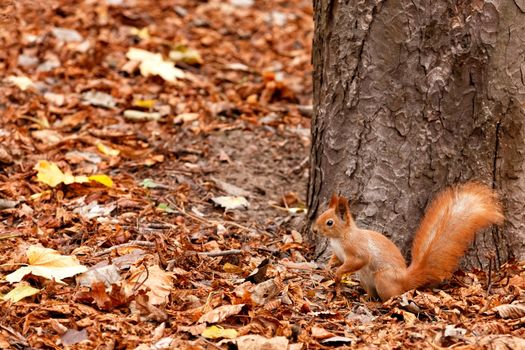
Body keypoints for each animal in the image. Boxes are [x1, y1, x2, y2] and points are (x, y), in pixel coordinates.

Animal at [312, 180, 504, 300]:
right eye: (321, 215)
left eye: (329, 222)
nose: (314, 230)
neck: (339, 238)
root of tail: (405, 279)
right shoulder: (339, 253)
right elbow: (336, 260)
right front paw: (328, 266)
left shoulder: (357, 250)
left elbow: (359, 260)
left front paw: (338, 273)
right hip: (366, 280)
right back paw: (366, 298)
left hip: (383, 279)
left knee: (394, 295)